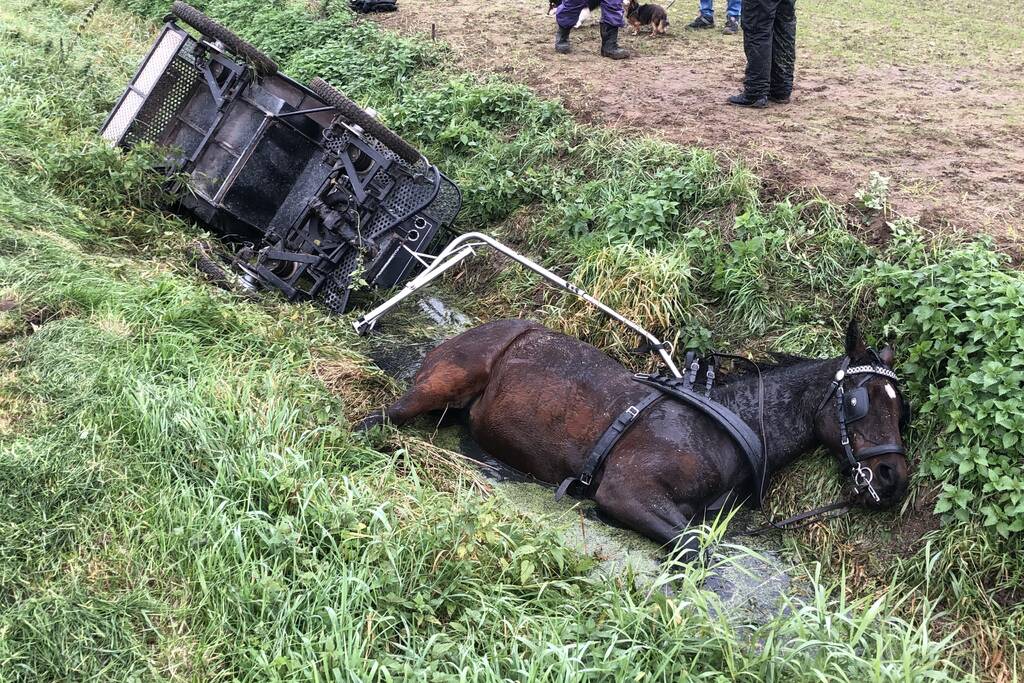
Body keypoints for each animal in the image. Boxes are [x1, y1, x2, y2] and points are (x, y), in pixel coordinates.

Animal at [358, 318, 910, 553]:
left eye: (901, 409)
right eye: (859, 402)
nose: (894, 476)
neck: (726, 423)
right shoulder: (627, 490)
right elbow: (697, 550)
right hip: (437, 386)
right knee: (379, 419)